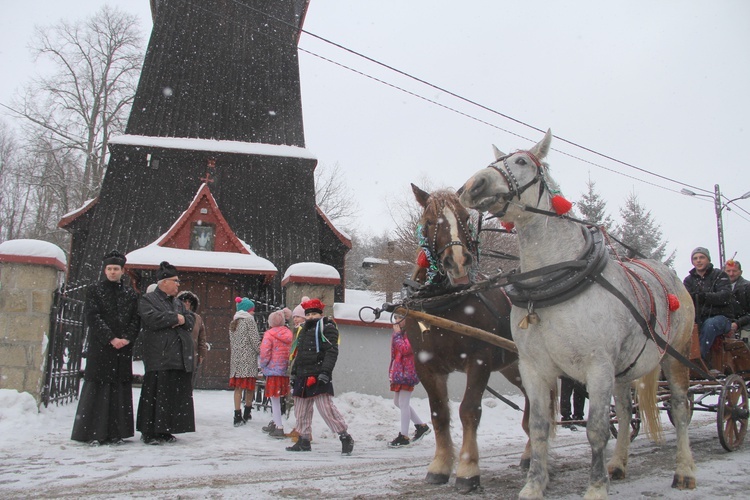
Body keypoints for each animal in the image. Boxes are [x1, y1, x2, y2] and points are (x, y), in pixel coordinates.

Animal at [402, 184, 532, 492]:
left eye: (466, 217)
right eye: (429, 222)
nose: (458, 263)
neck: (444, 302)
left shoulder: (479, 360)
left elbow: (469, 410)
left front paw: (468, 470)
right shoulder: (426, 365)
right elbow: (440, 413)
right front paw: (439, 466)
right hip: (513, 367)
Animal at [458, 131, 700, 498]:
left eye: (521, 161)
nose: (473, 185)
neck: (552, 280)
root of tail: (669, 274)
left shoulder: (597, 366)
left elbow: (596, 429)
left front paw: (596, 488)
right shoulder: (534, 368)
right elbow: (539, 427)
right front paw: (534, 485)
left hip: (676, 357)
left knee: (681, 409)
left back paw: (684, 470)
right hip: (624, 370)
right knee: (626, 411)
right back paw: (618, 464)